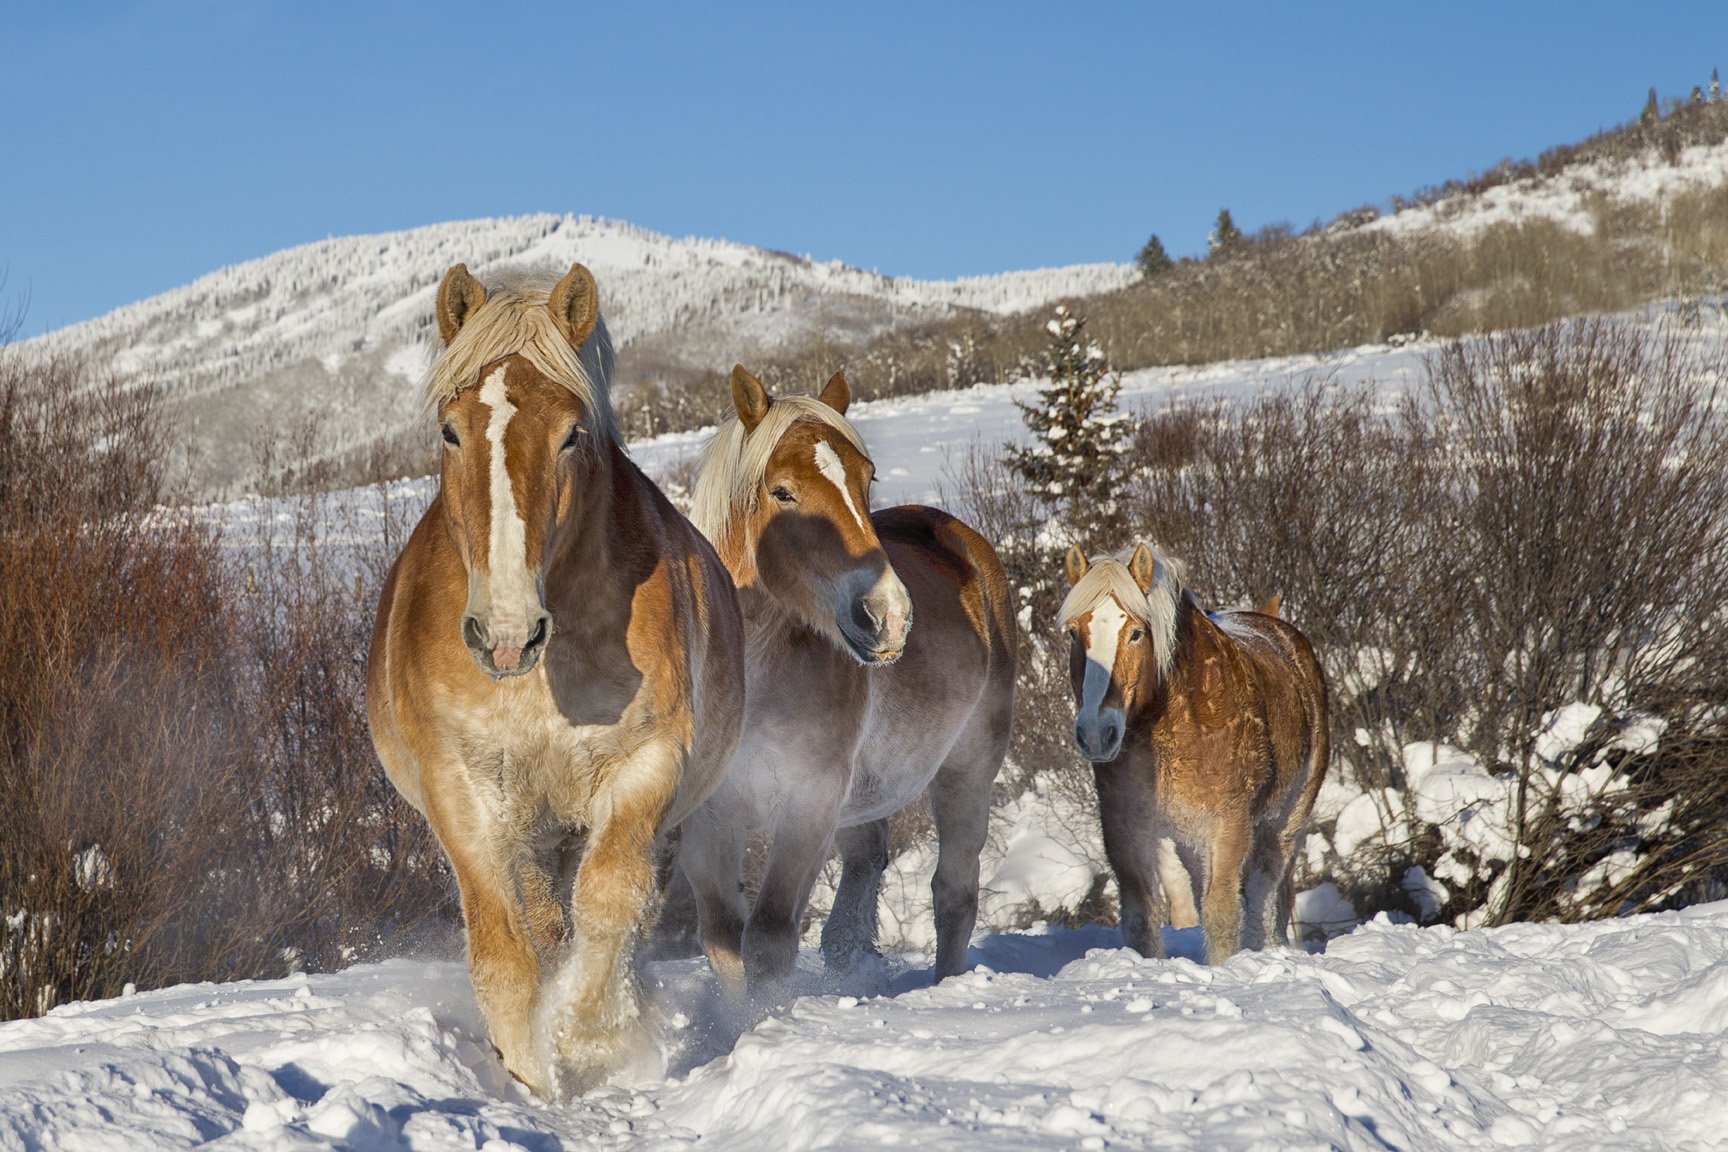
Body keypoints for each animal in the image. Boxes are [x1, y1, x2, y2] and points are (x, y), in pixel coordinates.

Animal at [364, 264, 743, 1098]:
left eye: (572, 434)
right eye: (450, 429)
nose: (506, 634)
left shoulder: (646, 769)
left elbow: (610, 904)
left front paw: (591, 1038)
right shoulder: (465, 792)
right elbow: (506, 952)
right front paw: (529, 1075)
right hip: (532, 827)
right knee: (542, 926)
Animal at [670, 367, 1016, 994]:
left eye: (865, 478)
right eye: (782, 492)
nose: (888, 614)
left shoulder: (809, 805)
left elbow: (769, 941)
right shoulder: (710, 818)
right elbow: (724, 944)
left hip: (968, 770)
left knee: (954, 894)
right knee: (866, 870)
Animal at [1057, 542, 1327, 967]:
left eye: (1136, 633)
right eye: (1073, 633)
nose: (1096, 734)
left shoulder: (1228, 826)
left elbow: (1221, 915)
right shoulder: (1125, 829)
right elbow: (1142, 916)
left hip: (1285, 823)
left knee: (1262, 903)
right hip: (1190, 844)